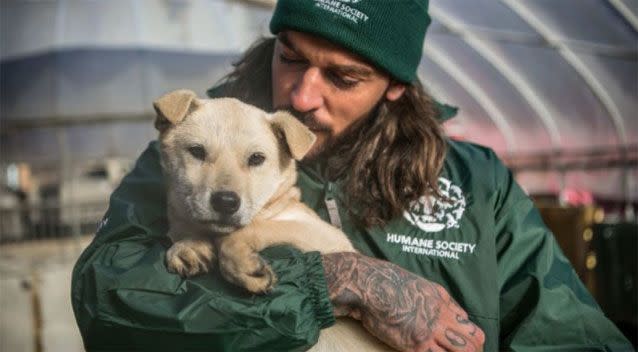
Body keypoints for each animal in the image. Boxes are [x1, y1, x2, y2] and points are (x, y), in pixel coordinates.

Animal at [155, 90, 396, 352]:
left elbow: (251, 230)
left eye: (256, 158)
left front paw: (245, 268)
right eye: (197, 151)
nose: (226, 202)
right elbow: (185, 230)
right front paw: (188, 248)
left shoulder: (327, 237)